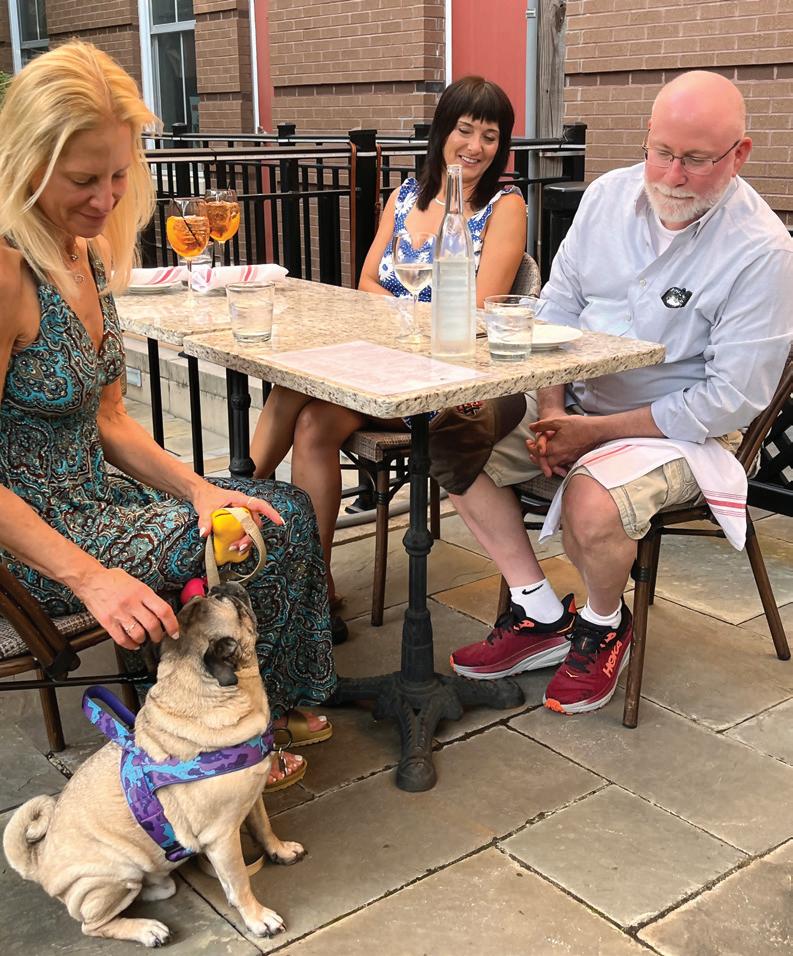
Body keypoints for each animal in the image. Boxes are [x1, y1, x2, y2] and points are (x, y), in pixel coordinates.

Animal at [3, 582, 304, 947]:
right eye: (227, 602)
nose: (223, 584)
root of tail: (39, 860)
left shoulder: (252, 800)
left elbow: (263, 828)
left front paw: (279, 850)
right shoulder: (221, 837)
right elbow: (239, 882)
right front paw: (258, 918)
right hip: (117, 874)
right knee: (93, 924)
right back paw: (146, 929)